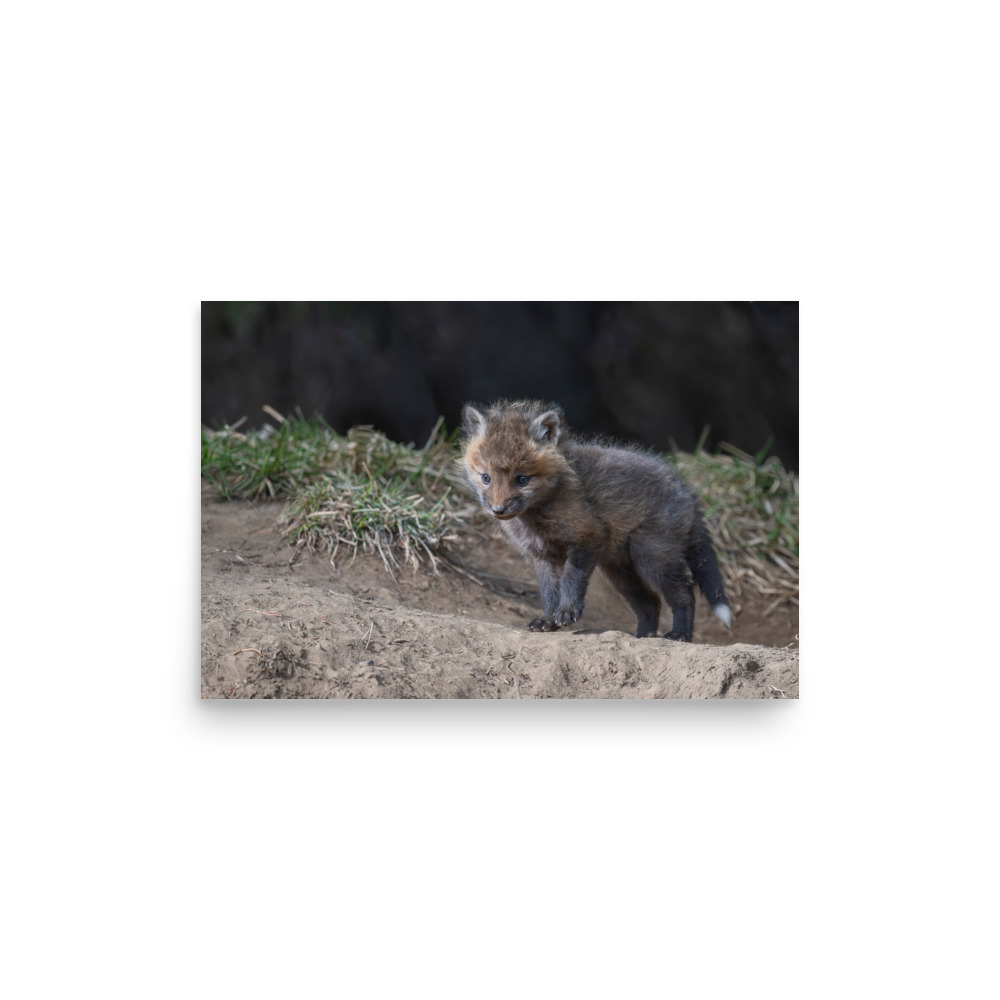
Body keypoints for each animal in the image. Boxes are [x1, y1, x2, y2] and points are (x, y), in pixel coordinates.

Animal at [460, 399, 732, 641]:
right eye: (486, 478)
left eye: (522, 479)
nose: (498, 510)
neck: (537, 518)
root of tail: (687, 492)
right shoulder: (542, 554)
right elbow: (549, 592)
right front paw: (548, 620)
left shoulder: (588, 537)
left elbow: (571, 579)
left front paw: (567, 612)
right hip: (620, 571)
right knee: (651, 603)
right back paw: (642, 637)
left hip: (652, 557)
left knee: (685, 594)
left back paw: (680, 634)